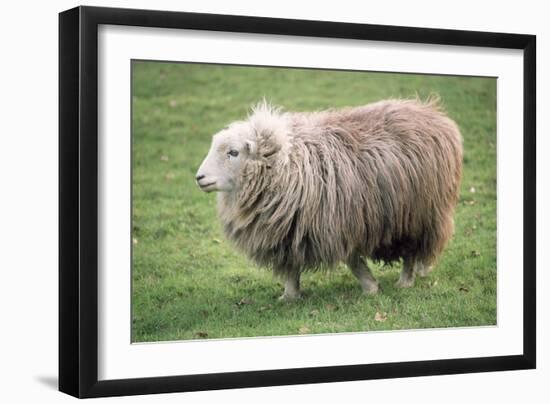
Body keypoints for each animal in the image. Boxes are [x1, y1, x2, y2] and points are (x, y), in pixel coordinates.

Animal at [196, 98, 464, 300]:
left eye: (233, 152)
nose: (199, 177)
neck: (285, 163)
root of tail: (433, 113)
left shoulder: (335, 224)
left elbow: (353, 260)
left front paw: (370, 288)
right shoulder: (291, 229)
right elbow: (292, 265)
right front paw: (290, 296)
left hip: (417, 213)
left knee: (410, 251)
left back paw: (405, 281)